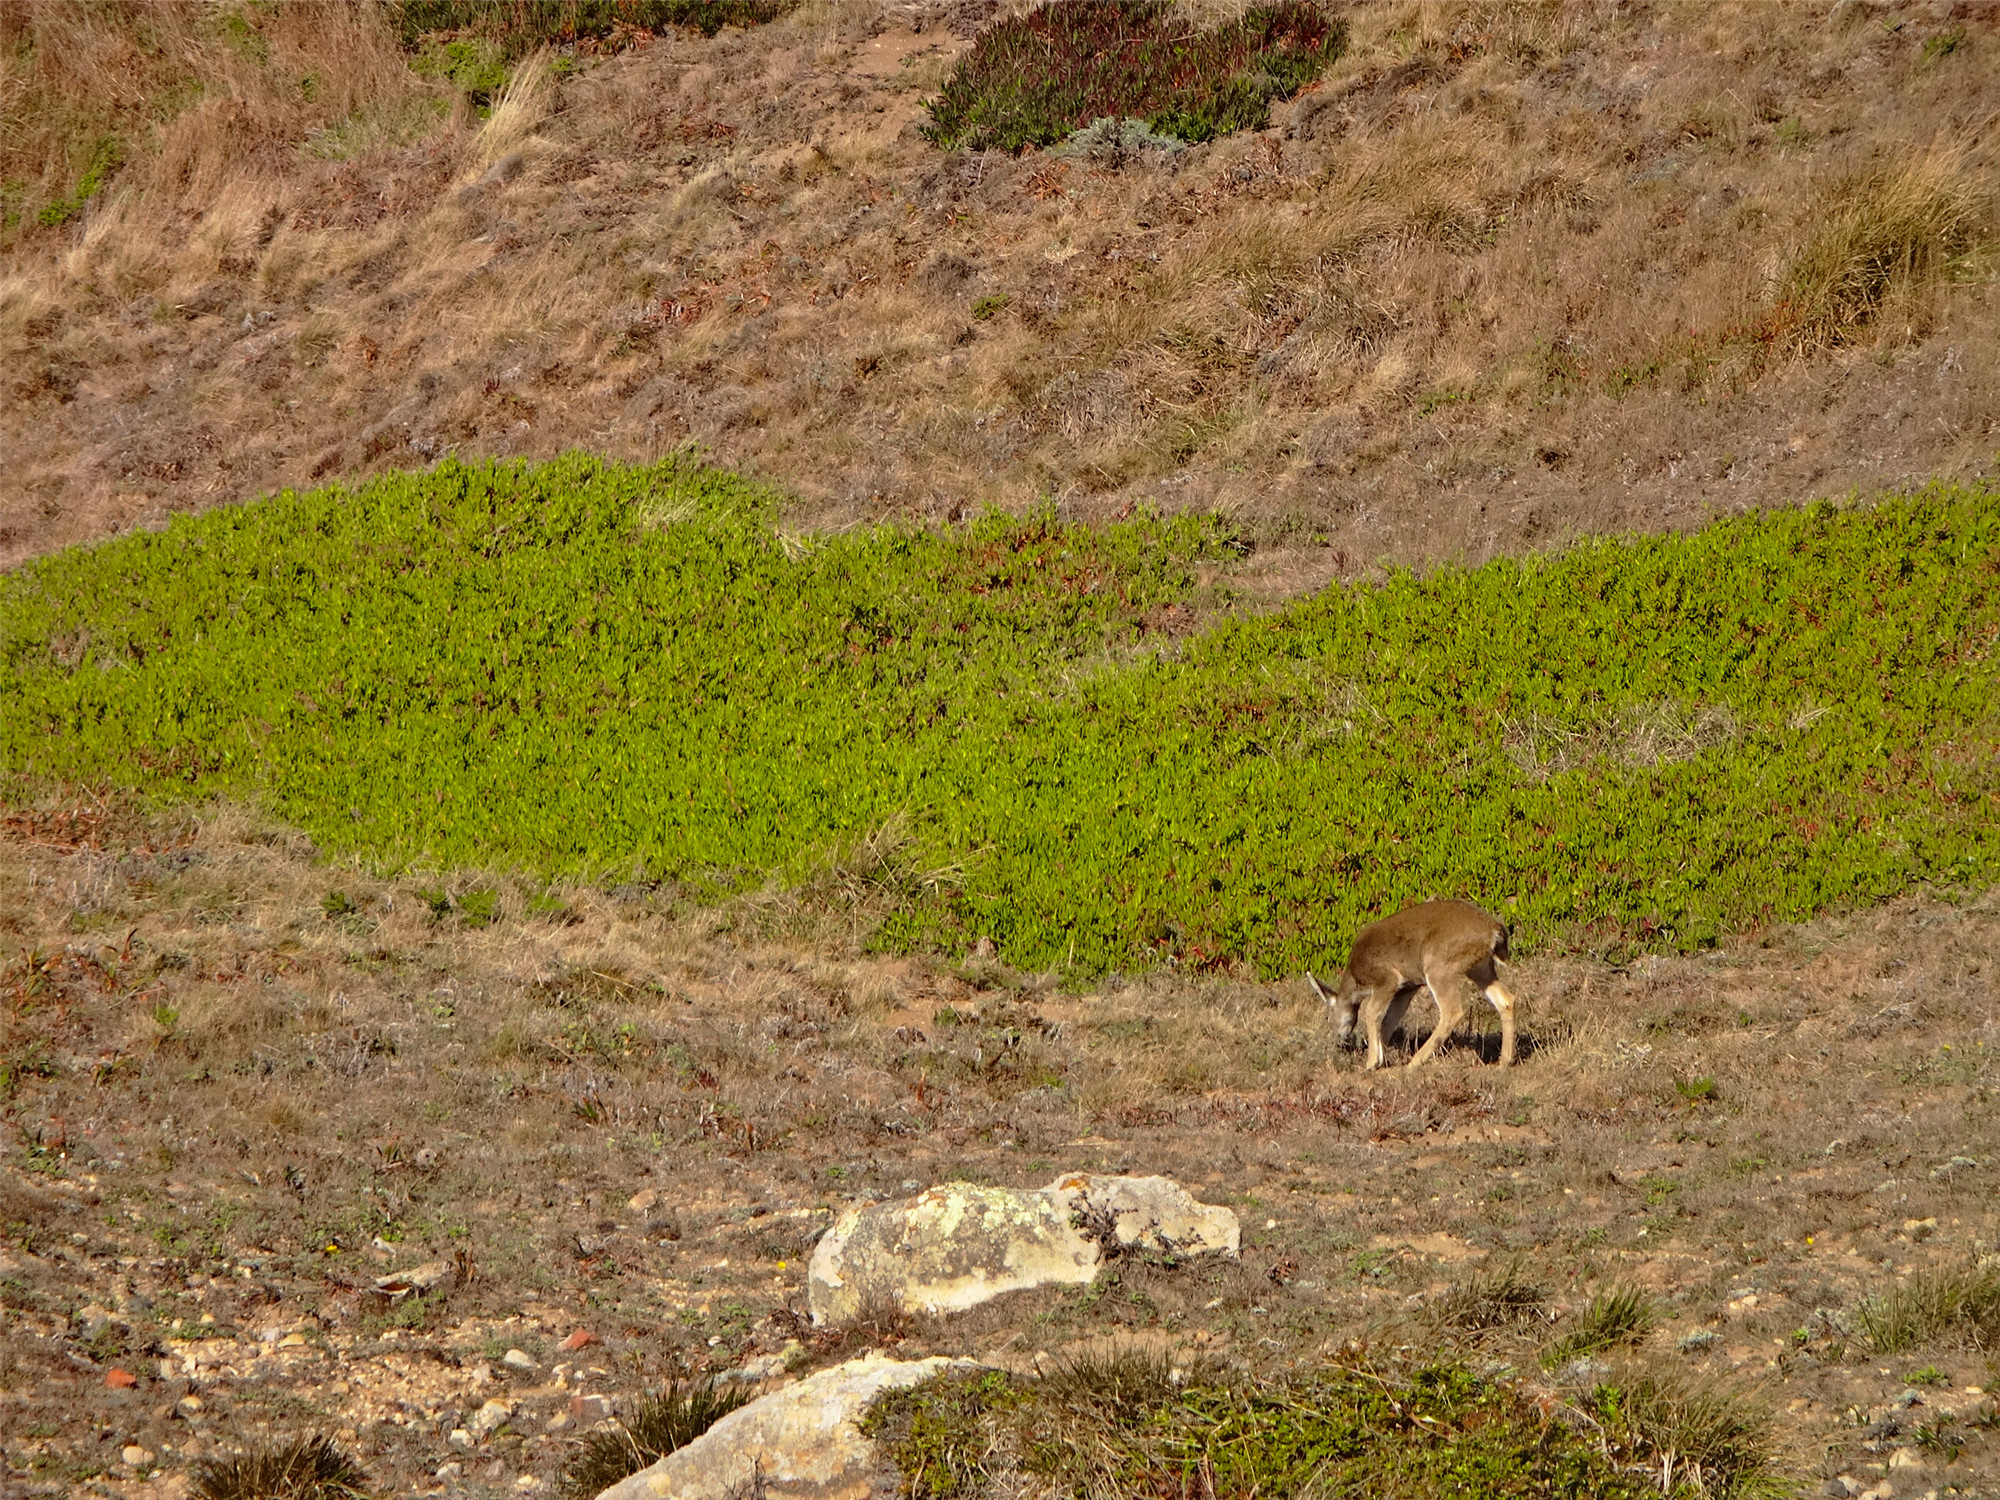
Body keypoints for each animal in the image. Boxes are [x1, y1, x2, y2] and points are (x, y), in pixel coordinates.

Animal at [1312, 904, 1512, 1072]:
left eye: (1328, 1017)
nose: (1339, 1039)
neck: (1356, 979)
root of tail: (1494, 930)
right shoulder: (1406, 988)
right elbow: (1389, 1020)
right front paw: (1381, 1059)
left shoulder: (1387, 979)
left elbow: (1372, 1013)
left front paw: (1371, 1063)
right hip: (1480, 968)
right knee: (1506, 1000)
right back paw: (1504, 1062)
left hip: (1437, 964)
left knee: (1452, 1010)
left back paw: (1414, 1062)